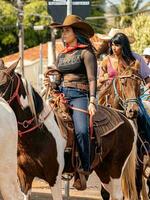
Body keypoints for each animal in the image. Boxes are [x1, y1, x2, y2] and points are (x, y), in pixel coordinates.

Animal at [0, 61, 138, 200]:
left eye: (3, 84)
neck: (39, 132)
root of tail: (125, 118)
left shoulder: (53, 177)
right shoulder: (24, 176)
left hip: (115, 169)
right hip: (103, 170)